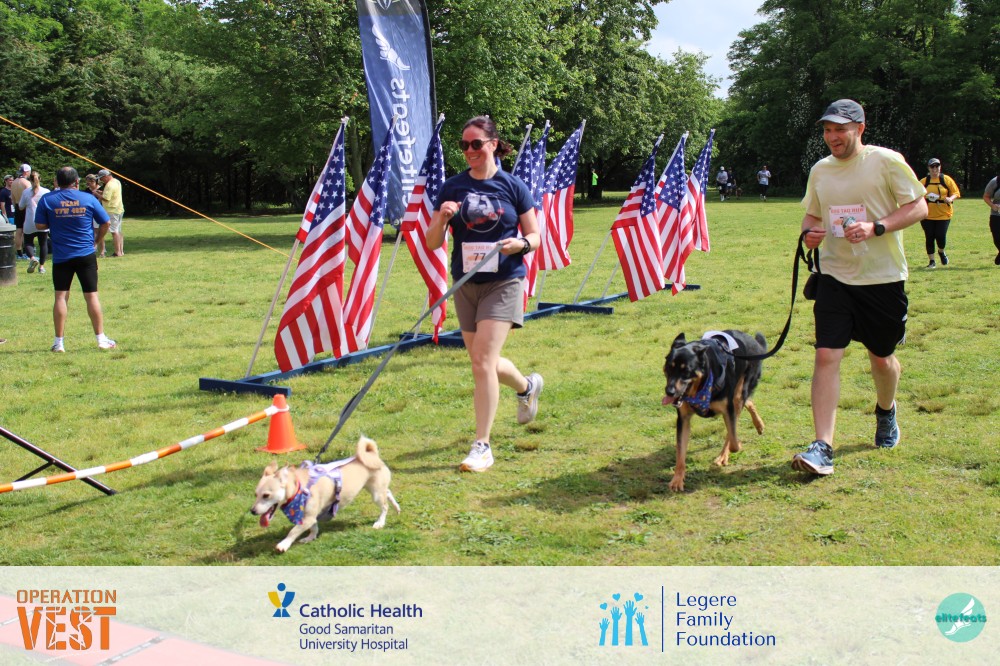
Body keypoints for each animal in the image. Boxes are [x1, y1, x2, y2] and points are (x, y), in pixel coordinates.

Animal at [250, 436, 400, 552]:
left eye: (266, 495)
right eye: (255, 495)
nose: (252, 511)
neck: (299, 487)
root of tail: (372, 455)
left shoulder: (307, 517)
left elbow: (294, 530)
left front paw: (283, 544)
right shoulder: (310, 516)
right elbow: (313, 527)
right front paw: (310, 537)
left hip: (376, 493)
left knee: (384, 506)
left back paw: (380, 522)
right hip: (374, 488)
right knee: (387, 492)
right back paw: (397, 507)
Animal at [661, 331, 766, 492]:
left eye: (686, 371)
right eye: (669, 367)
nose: (669, 392)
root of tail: (754, 341)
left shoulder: (728, 409)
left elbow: (733, 440)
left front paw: (734, 447)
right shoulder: (683, 419)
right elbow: (680, 452)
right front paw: (677, 480)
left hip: (739, 393)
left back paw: (724, 455)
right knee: (749, 401)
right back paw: (759, 425)